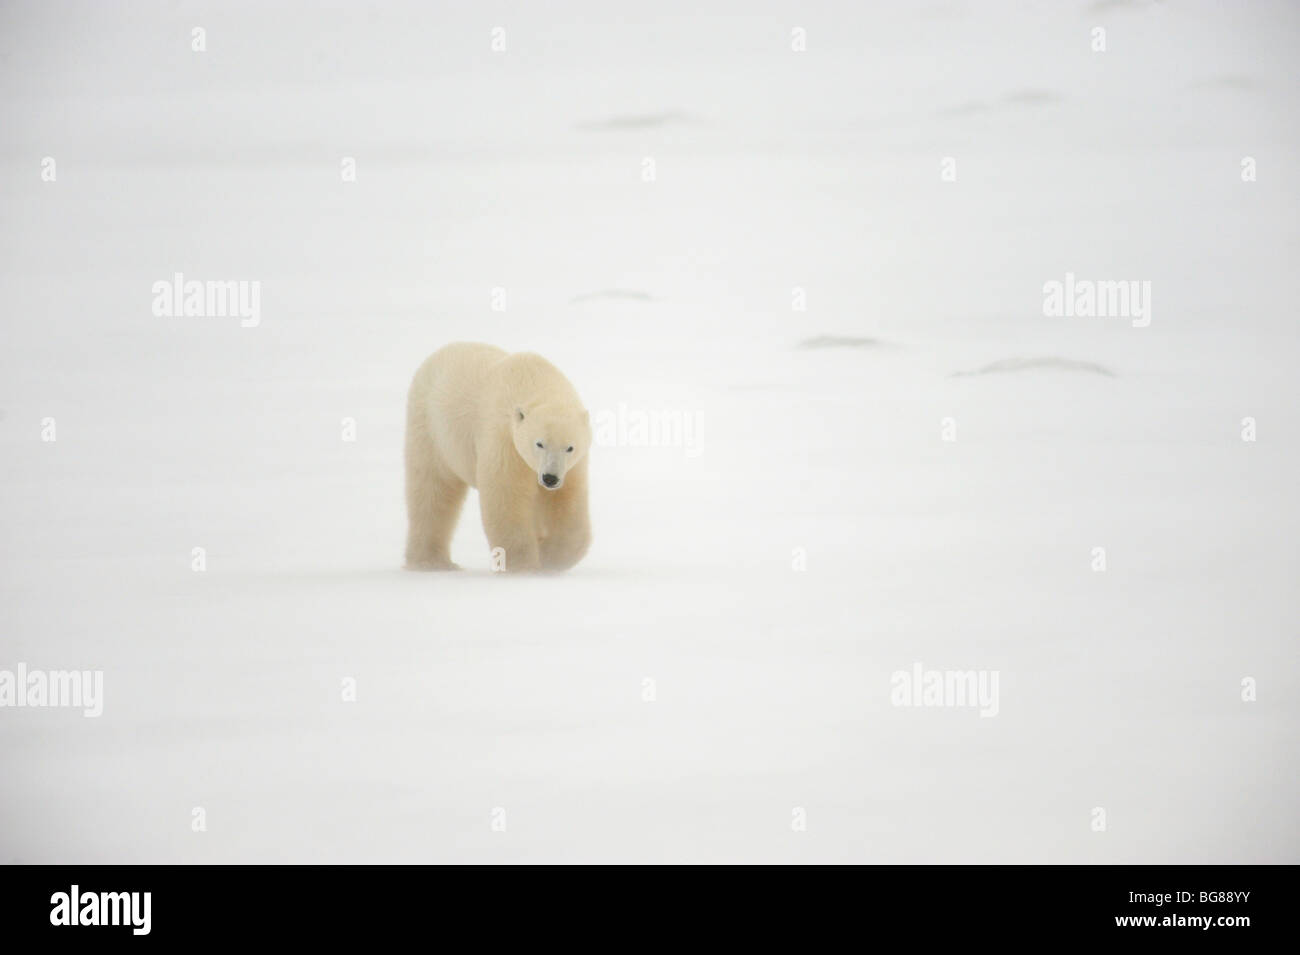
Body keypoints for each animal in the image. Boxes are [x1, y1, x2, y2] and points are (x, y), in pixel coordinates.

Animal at [400, 343, 595, 574]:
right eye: (539, 443)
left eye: (570, 447)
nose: (550, 478)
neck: (535, 378)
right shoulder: (504, 441)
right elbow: (506, 497)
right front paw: (523, 565)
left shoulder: (571, 467)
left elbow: (566, 503)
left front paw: (550, 557)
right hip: (431, 430)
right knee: (432, 491)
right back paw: (431, 562)